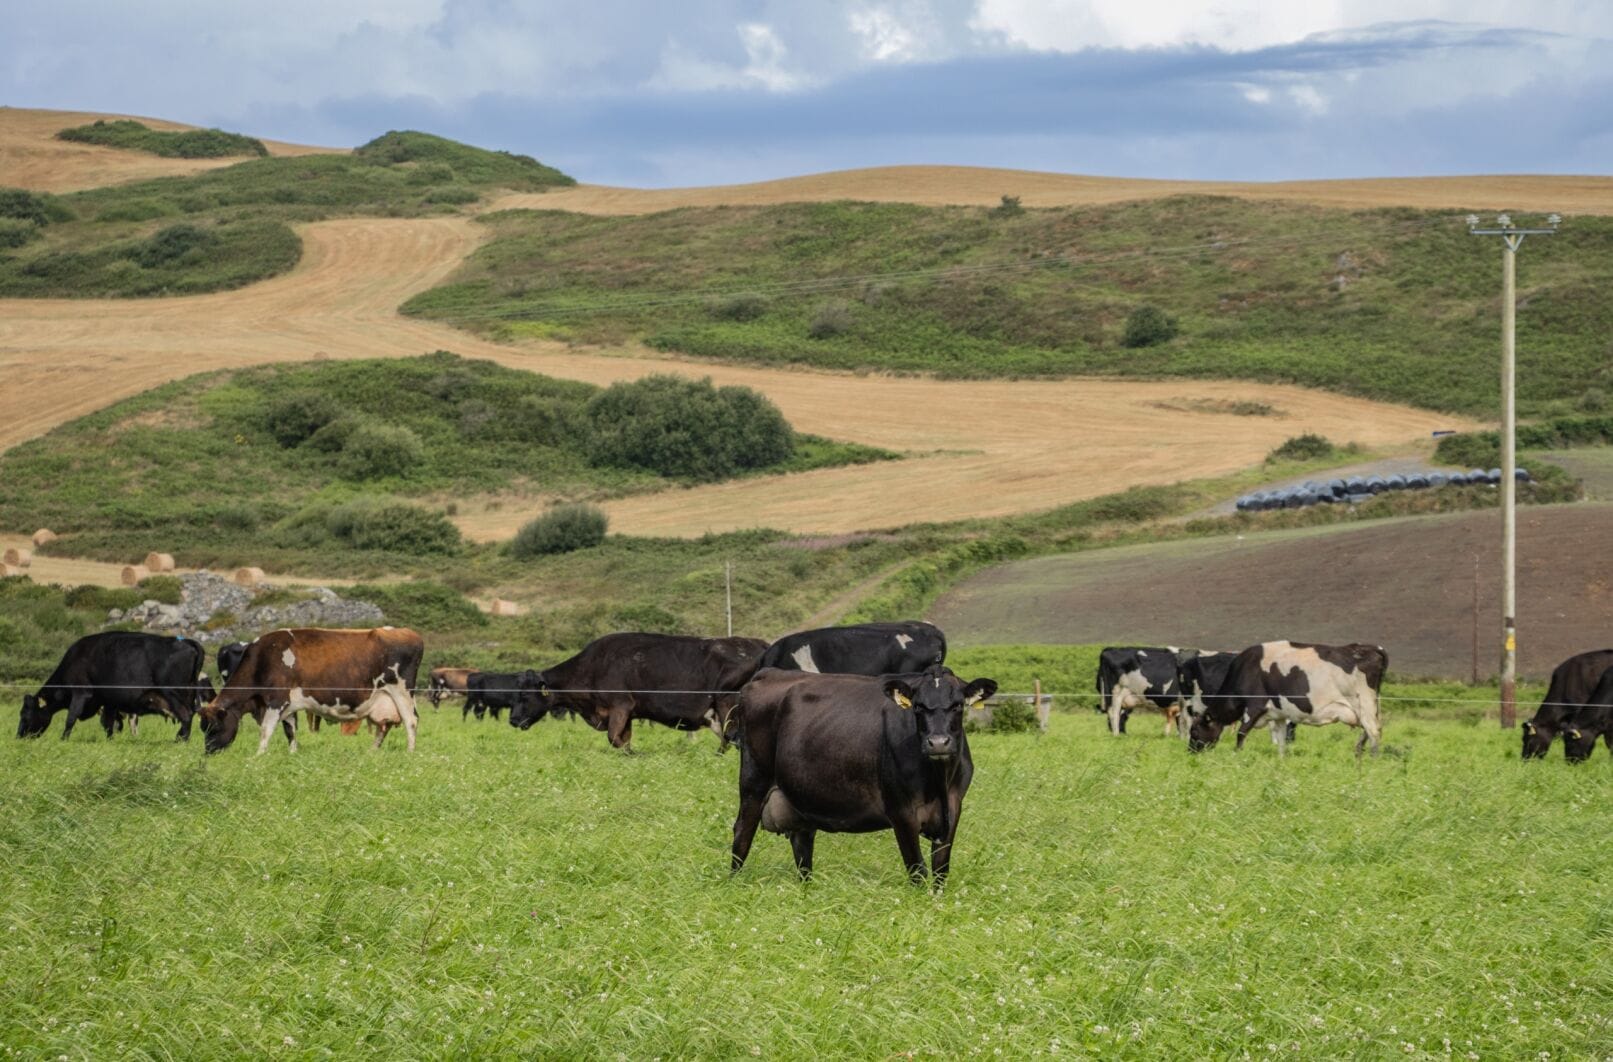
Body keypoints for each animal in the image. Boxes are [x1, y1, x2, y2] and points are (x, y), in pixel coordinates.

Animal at [18, 632, 207, 742]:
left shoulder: (81, 693)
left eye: (24, 715)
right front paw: (109, 740)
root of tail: (186, 642)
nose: (19, 736)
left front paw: (63, 739)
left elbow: (71, 718)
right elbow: (108, 723)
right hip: (188, 695)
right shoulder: (109, 701)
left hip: (173, 693)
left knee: (186, 716)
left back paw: (180, 740)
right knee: (190, 715)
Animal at [199, 627, 424, 754]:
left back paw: (410, 752)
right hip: (382, 699)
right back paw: (372, 752)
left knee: (411, 721)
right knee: (383, 727)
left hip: (401, 691)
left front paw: (258, 756)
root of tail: (407, 632)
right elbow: (290, 730)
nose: (208, 752)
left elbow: (265, 730)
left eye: (215, 727)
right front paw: (292, 753)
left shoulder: (277, 700)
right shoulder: (288, 705)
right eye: (203, 728)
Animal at [507, 632, 768, 750]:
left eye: (525, 695)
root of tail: (756, 643)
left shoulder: (620, 706)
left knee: (731, 738)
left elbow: (614, 738)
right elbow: (623, 740)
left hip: (728, 705)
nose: (512, 720)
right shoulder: (627, 714)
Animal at [729, 665, 997, 886]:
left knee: (802, 846)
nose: (938, 743)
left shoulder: (953, 807)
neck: (938, 783)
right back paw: (733, 884)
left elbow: (941, 871)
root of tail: (769, 672)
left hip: (800, 799)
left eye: (958, 705)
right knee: (742, 834)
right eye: (918, 706)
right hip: (754, 782)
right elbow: (918, 870)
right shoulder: (901, 811)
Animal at [1188, 640, 1387, 758]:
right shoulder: (1279, 714)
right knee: (1369, 730)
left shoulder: (1254, 706)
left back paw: (1372, 759)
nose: (1190, 752)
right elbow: (1281, 739)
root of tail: (1372, 648)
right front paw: (1281, 760)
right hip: (1365, 707)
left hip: (1364, 702)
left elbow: (1241, 733)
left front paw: (1236, 755)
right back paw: (1358, 752)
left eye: (1195, 732)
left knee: (1373, 730)